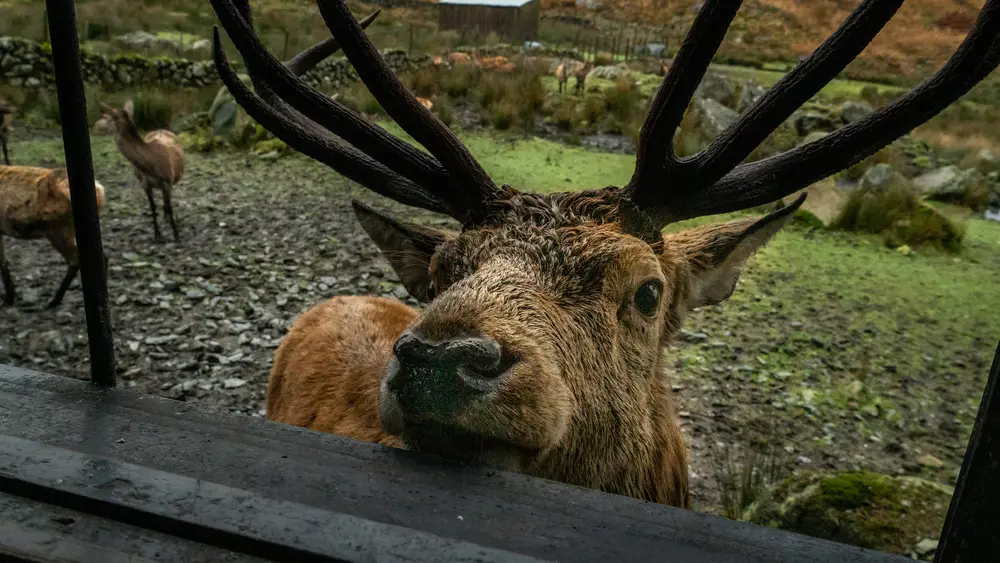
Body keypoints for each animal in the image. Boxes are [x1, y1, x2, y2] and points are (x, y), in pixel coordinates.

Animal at [0, 166, 107, 308]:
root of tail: (100, 191)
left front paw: (8, 299)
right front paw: (10, 298)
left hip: (58, 231)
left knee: (75, 260)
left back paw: (54, 301)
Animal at [96, 101, 187, 242]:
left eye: (106, 117)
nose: (96, 124)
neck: (151, 167)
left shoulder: (168, 180)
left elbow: (171, 207)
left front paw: (176, 235)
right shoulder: (145, 184)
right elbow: (152, 207)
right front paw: (157, 234)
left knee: (167, 203)